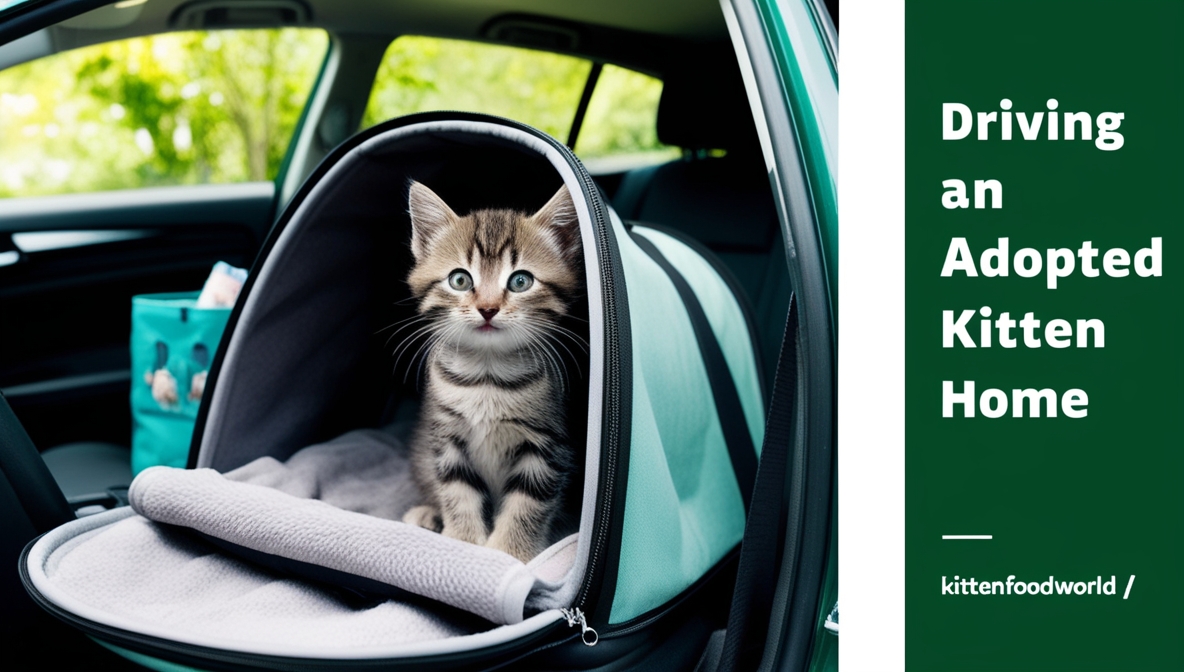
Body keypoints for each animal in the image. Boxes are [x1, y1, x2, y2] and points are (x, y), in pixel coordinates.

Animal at [397, 178, 582, 560]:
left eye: (521, 282)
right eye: (460, 280)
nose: (487, 308)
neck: (487, 375)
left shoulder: (548, 445)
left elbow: (528, 502)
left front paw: (511, 553)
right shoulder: (447, 438)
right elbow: (457, 491)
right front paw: (464, 545)